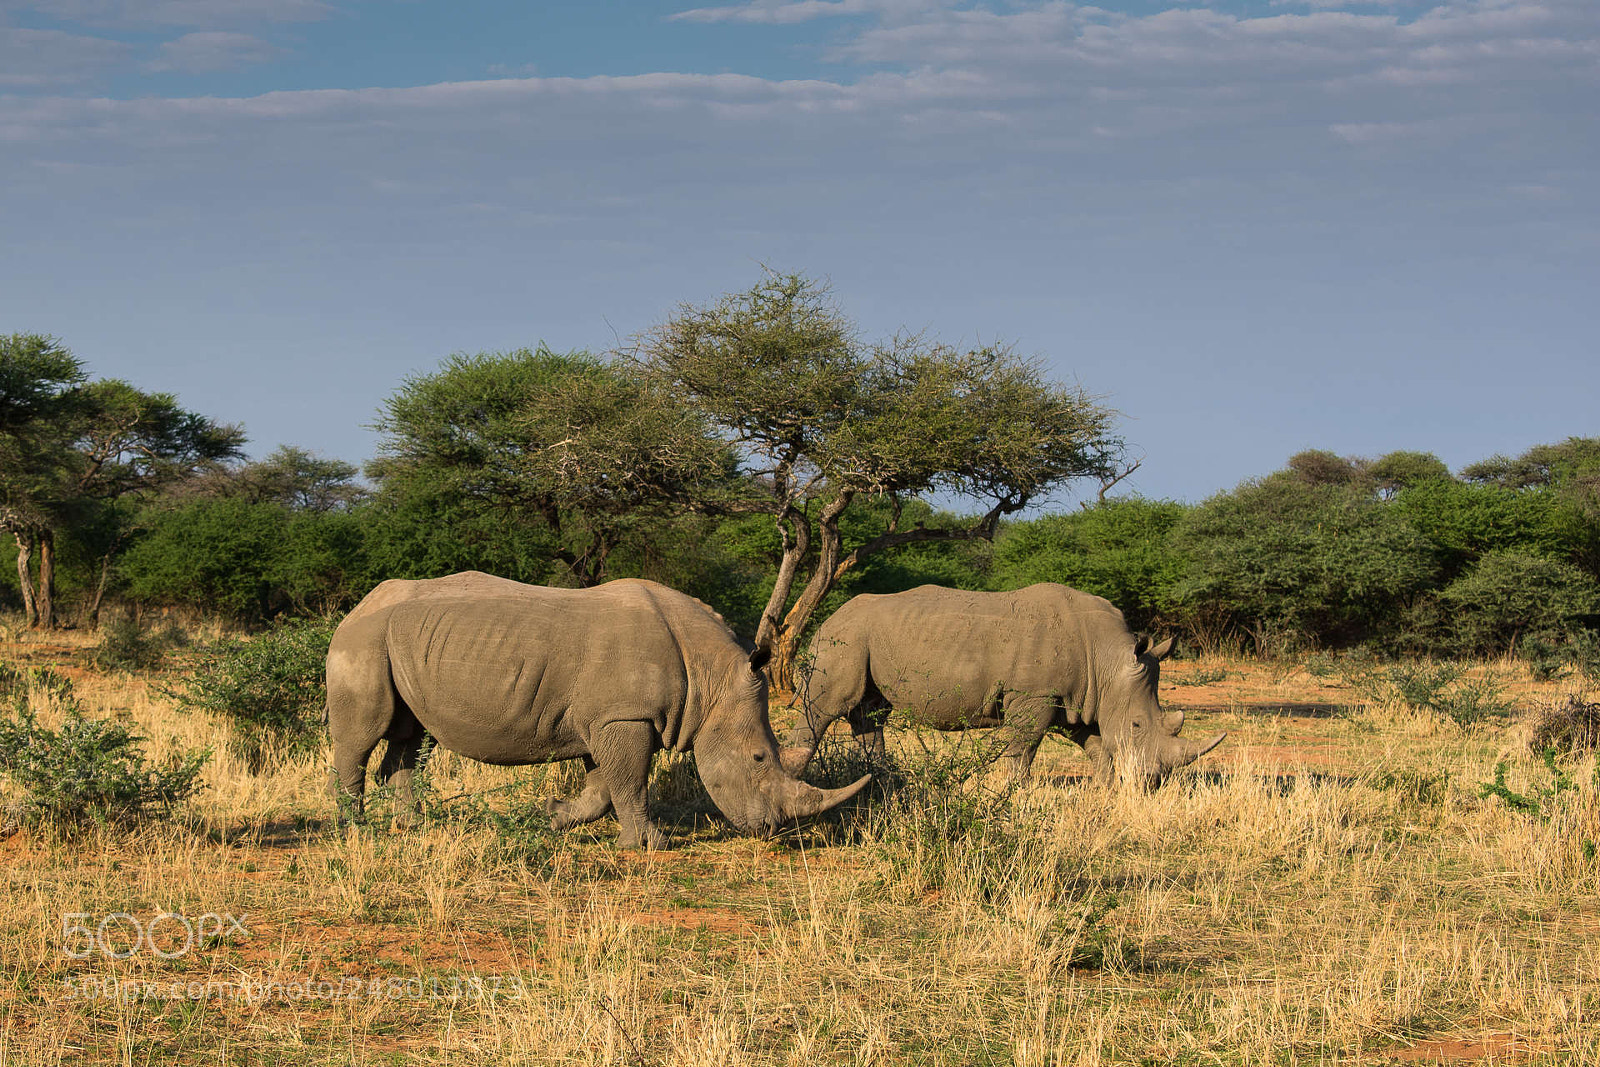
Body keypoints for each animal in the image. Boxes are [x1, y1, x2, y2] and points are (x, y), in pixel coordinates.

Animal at [327, 571, 870, 848]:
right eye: (759, 758)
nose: (774, 832)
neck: (710, 676)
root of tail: (356, 605)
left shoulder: (604, 716)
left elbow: (603, 787)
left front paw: (554, 817)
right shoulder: (624, 715)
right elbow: (629, 781)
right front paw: (651, 844)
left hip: (396, 641)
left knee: (408, 735)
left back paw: (411, 828)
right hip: (363, 640)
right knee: (363, 734)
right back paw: (355, 829)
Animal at [783, 584, 1225, 788]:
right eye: (1136, 726)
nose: (1153, 781)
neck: (1108, 659)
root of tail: (828, 619)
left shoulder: (1078, 696)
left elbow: (1095, 742)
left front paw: (1105, 787)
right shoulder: (1034, 694)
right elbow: (1024, 746)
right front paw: (1017, 790)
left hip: (863, 640)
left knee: (870, 713)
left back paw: (883, 780)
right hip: (844, 640)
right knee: (823, 709)